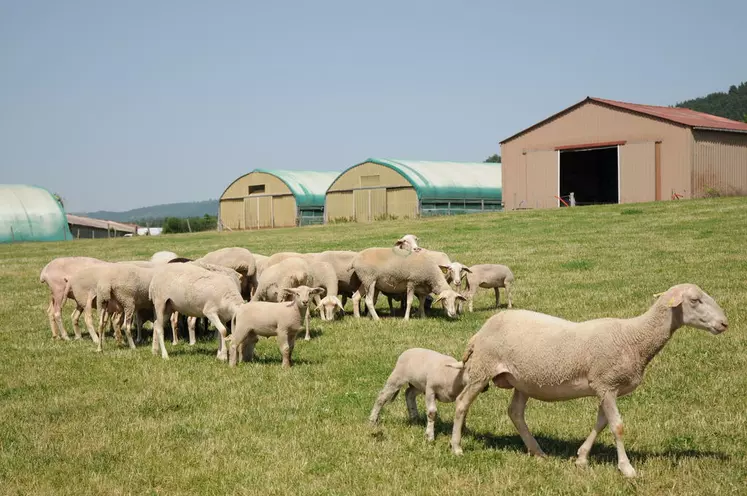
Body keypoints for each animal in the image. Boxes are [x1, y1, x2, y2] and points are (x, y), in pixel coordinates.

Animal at [448, 284, 728, 478]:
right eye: (695, 300)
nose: (724, 323)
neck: (634, 337)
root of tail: (480, 332)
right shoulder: (607, 384)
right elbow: (617, 426)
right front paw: (627, 469)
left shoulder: (606, 387)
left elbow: (601, 423)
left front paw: (582, 459)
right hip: (482, 370)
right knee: (462, 404)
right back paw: (457, 447)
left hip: (522, 380)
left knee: (515, 412)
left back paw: (537, 451)